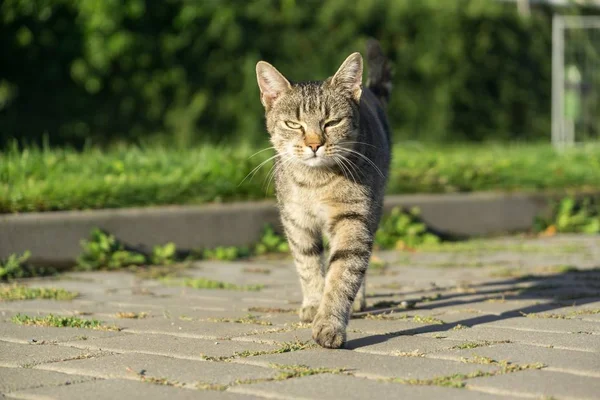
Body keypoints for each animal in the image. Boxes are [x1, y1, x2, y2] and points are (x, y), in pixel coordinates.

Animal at [254, 39, 392, 348]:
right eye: (294, 124)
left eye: (331, 122)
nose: (314, 144)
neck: (315, 182)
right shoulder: (296, 220)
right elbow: (307, 264)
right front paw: (314, 304)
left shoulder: (353, 218)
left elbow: (343, 273)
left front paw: (329, 323)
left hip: (373, 210)